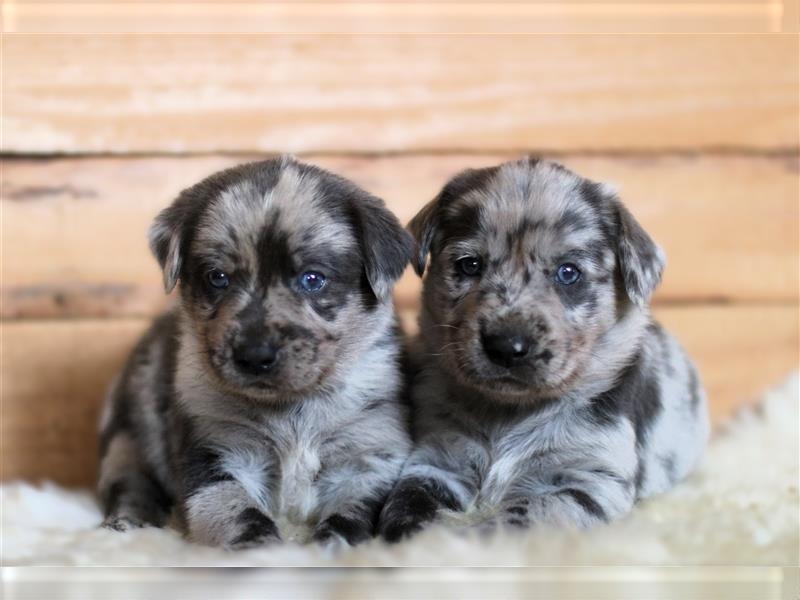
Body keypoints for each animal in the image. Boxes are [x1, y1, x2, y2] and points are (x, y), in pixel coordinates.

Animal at [97, 156, 416, 548]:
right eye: (218, 278)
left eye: (313, 279)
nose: (254, 356)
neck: (292, 409)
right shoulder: (216, 450)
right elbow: (236, 511)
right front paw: (261, 548)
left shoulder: (369, 453)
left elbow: (351, 515)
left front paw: (331, 544)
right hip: (128, 436)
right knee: (130, 483)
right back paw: (126, 523)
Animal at [378, 157, 708, 540]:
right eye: (469, 265)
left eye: (568, 273)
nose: (507, 346)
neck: (507, 412)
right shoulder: (437, 458)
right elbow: (409, 504)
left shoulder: (588, 480)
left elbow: (520, 517)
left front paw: (468, 538)